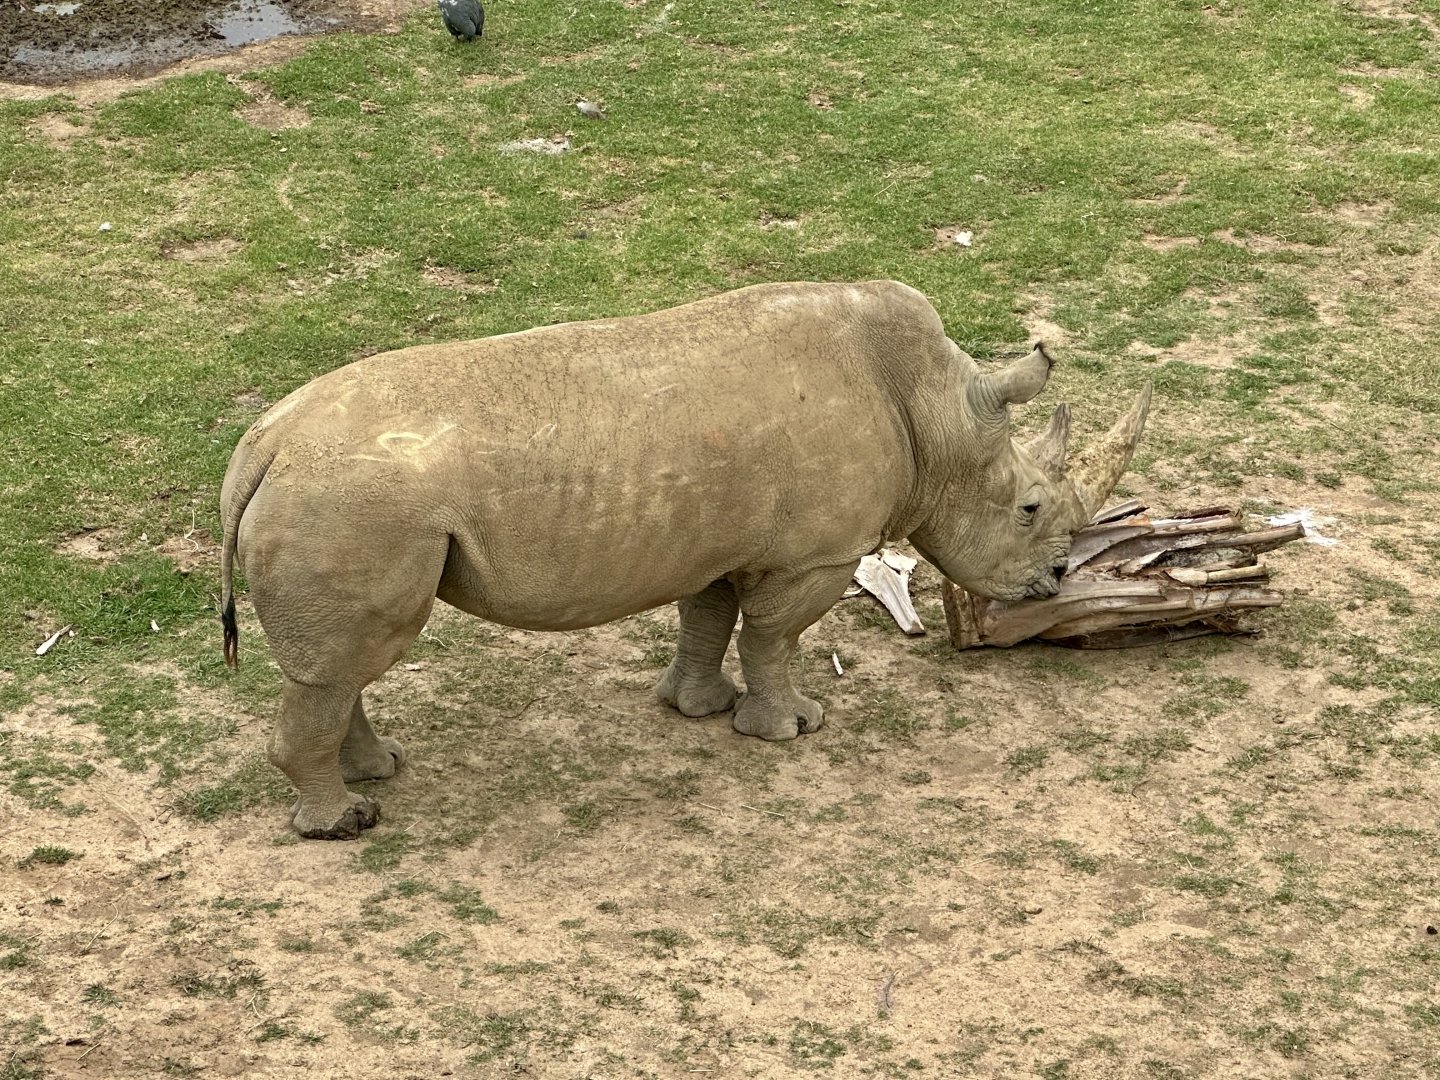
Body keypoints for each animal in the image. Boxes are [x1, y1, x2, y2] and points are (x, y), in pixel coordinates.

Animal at [219, 280, 1150, 839]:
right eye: (1029, 508)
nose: (1053, 582)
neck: (938, 414)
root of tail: (261, 449)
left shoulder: (716, 536)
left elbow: (707, 617)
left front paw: (696, 710)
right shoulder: (816, 554)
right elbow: (775, 636)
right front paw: (792, 728)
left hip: (342, 503)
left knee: (343, 664)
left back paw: (378, 773)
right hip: (352, 506)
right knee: (345, 660)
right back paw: (347, 823)